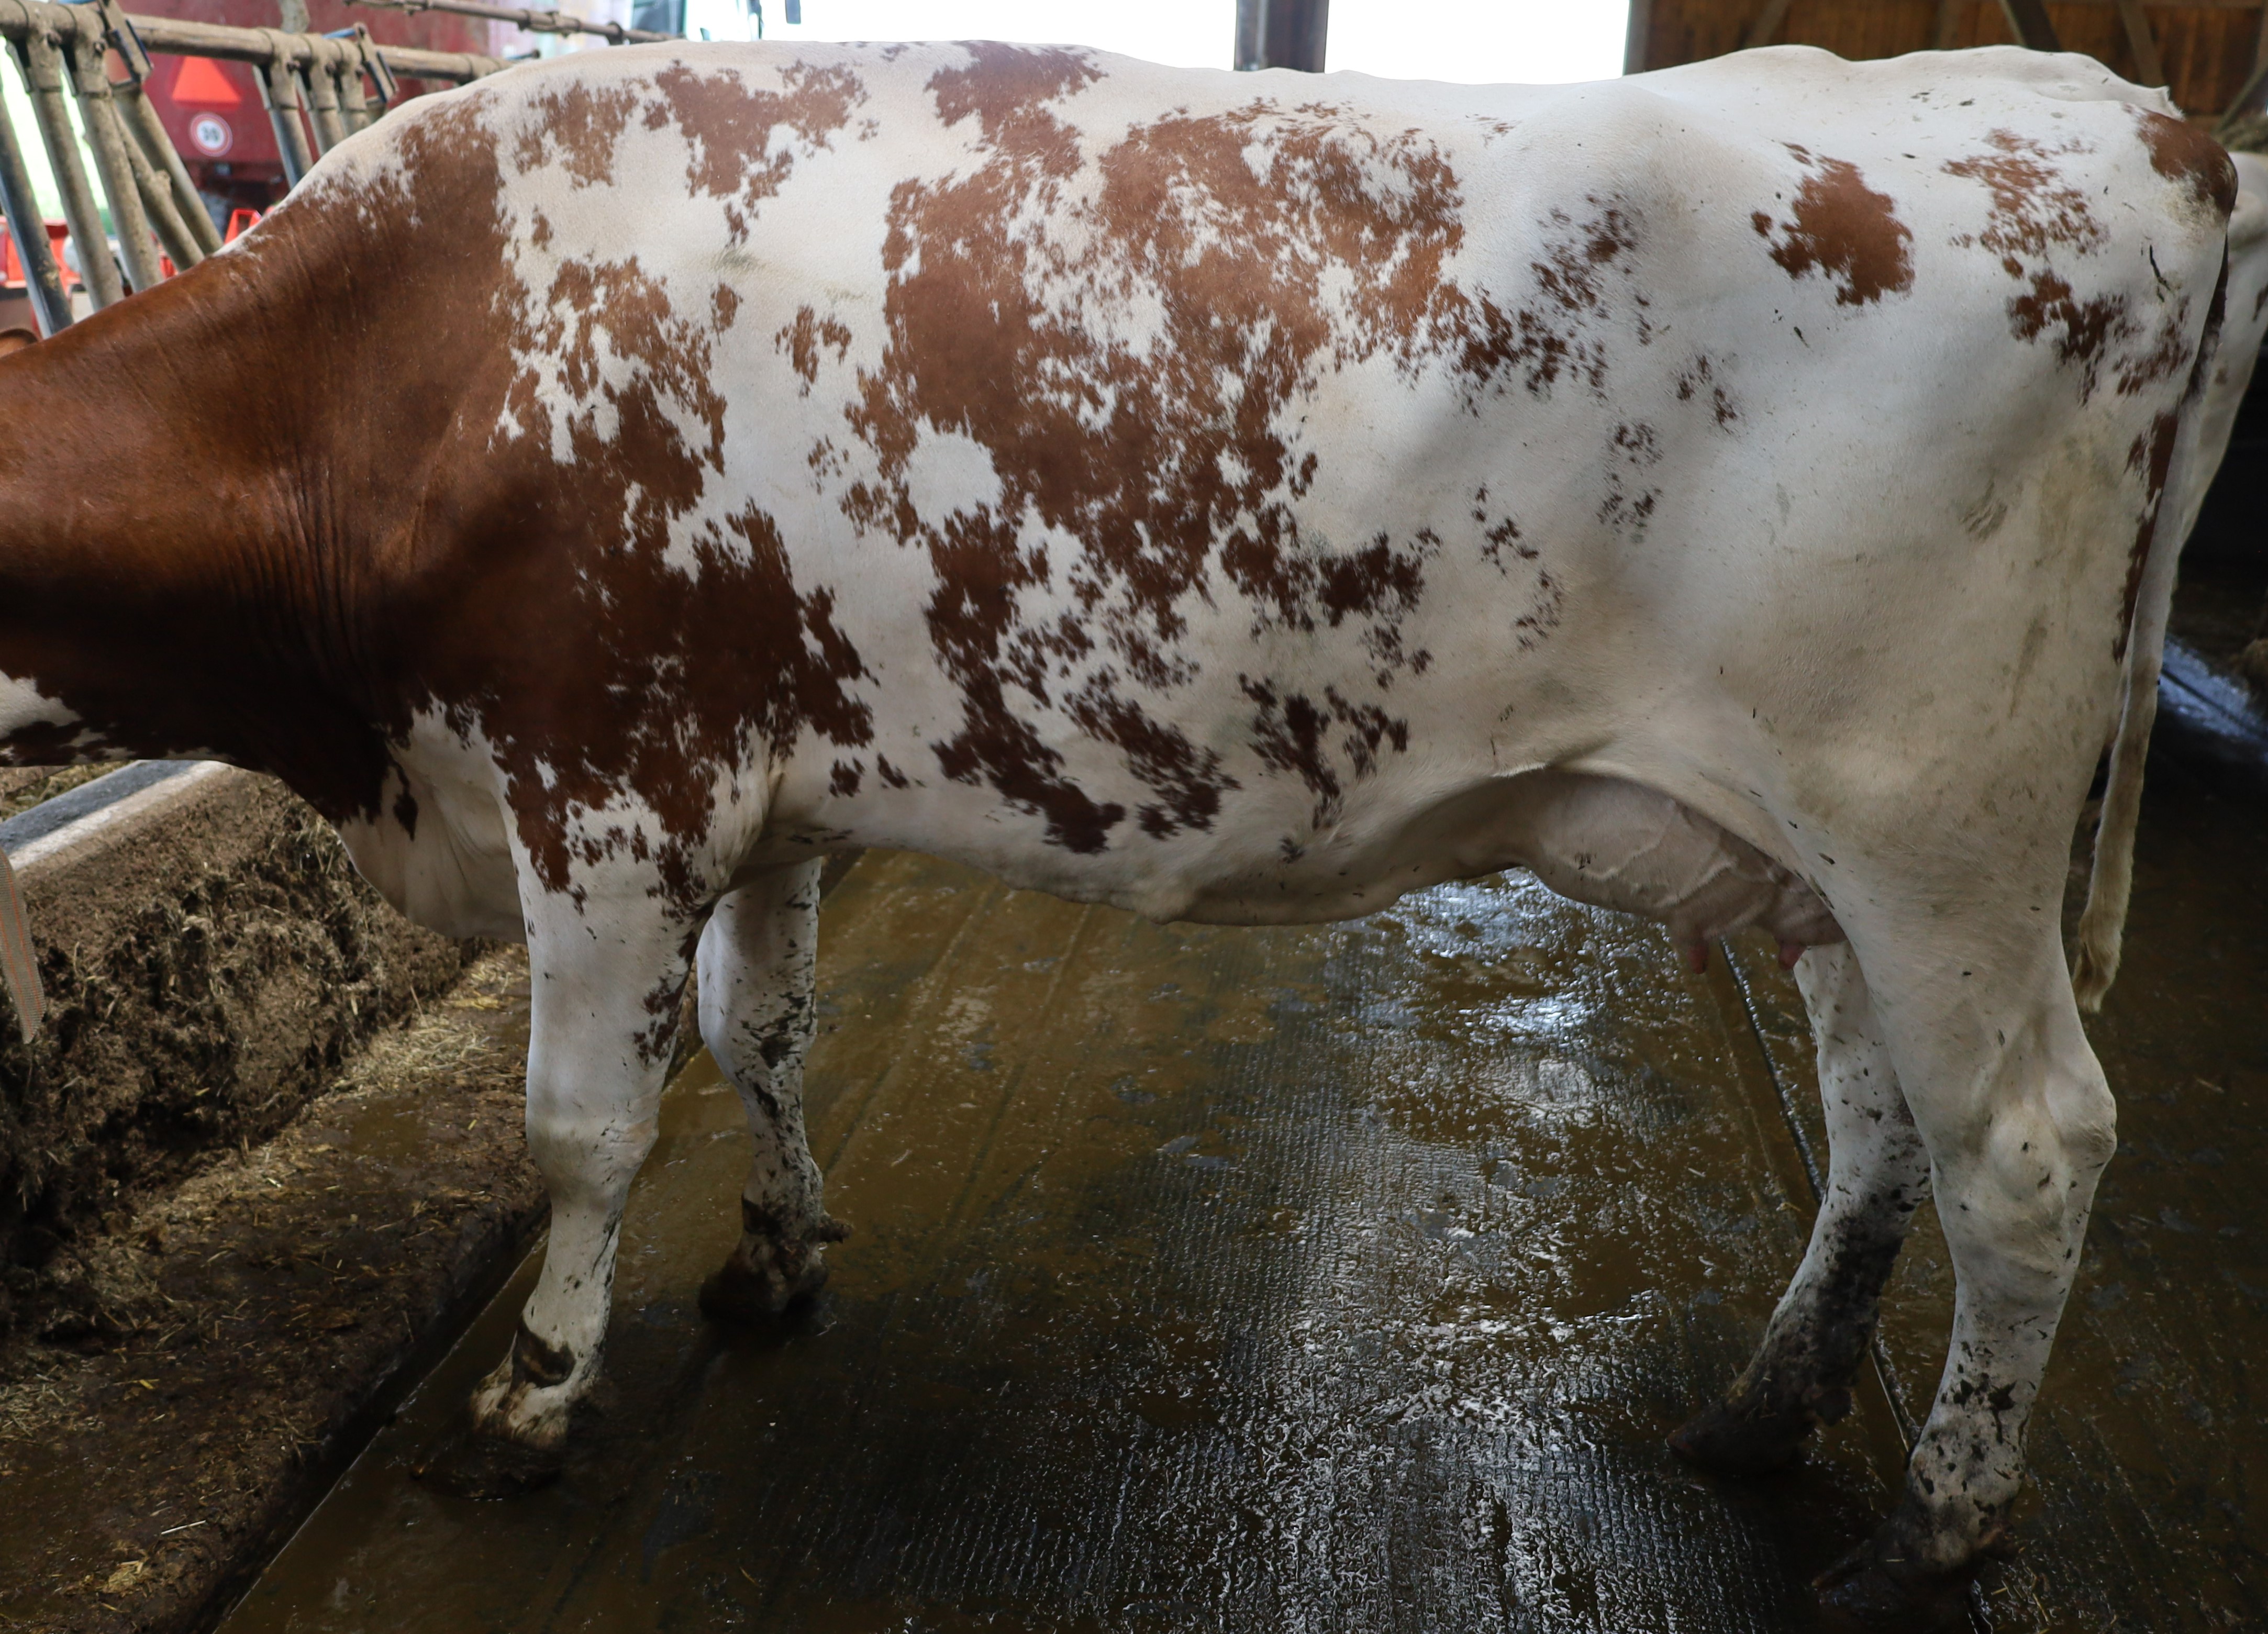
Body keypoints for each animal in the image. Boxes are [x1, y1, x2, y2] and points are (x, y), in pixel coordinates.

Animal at [0, 38, 2254, 1624]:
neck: (379, 363)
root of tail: (2133, 116)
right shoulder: (764, 781)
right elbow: (761, 1039)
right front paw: (776, 1256)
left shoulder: (605, 786)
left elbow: (583, 1127)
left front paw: (539, 1389)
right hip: (1834, 858)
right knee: (1879, 1129)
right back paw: (1771, 1414)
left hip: (1941, 826)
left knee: (2026, 1146)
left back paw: (1938, 1526)